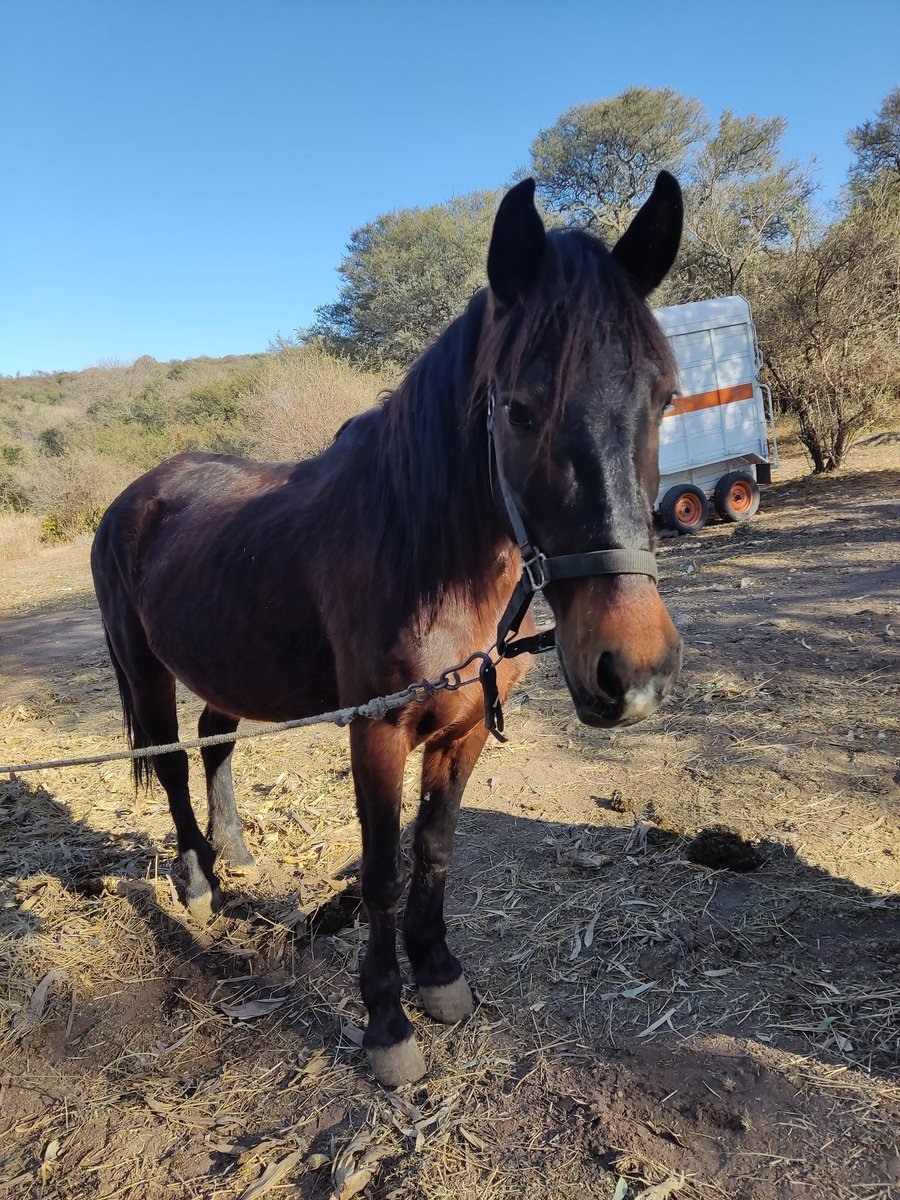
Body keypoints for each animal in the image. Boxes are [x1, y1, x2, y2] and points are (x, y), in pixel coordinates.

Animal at [90, 174, 685, 1086]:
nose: (634, 672)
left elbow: (433, 851)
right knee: (170, 760)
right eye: (519, 411)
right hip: (145, 667)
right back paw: (197, 882)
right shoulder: (375, 732)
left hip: (230, 666)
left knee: (214, 739)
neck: (425, 554)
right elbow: (378, 873)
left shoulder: (464, 729)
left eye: (663, 399)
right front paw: (385, 1022)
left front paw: (437, 976)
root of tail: (136, 495)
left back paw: (237, 851)